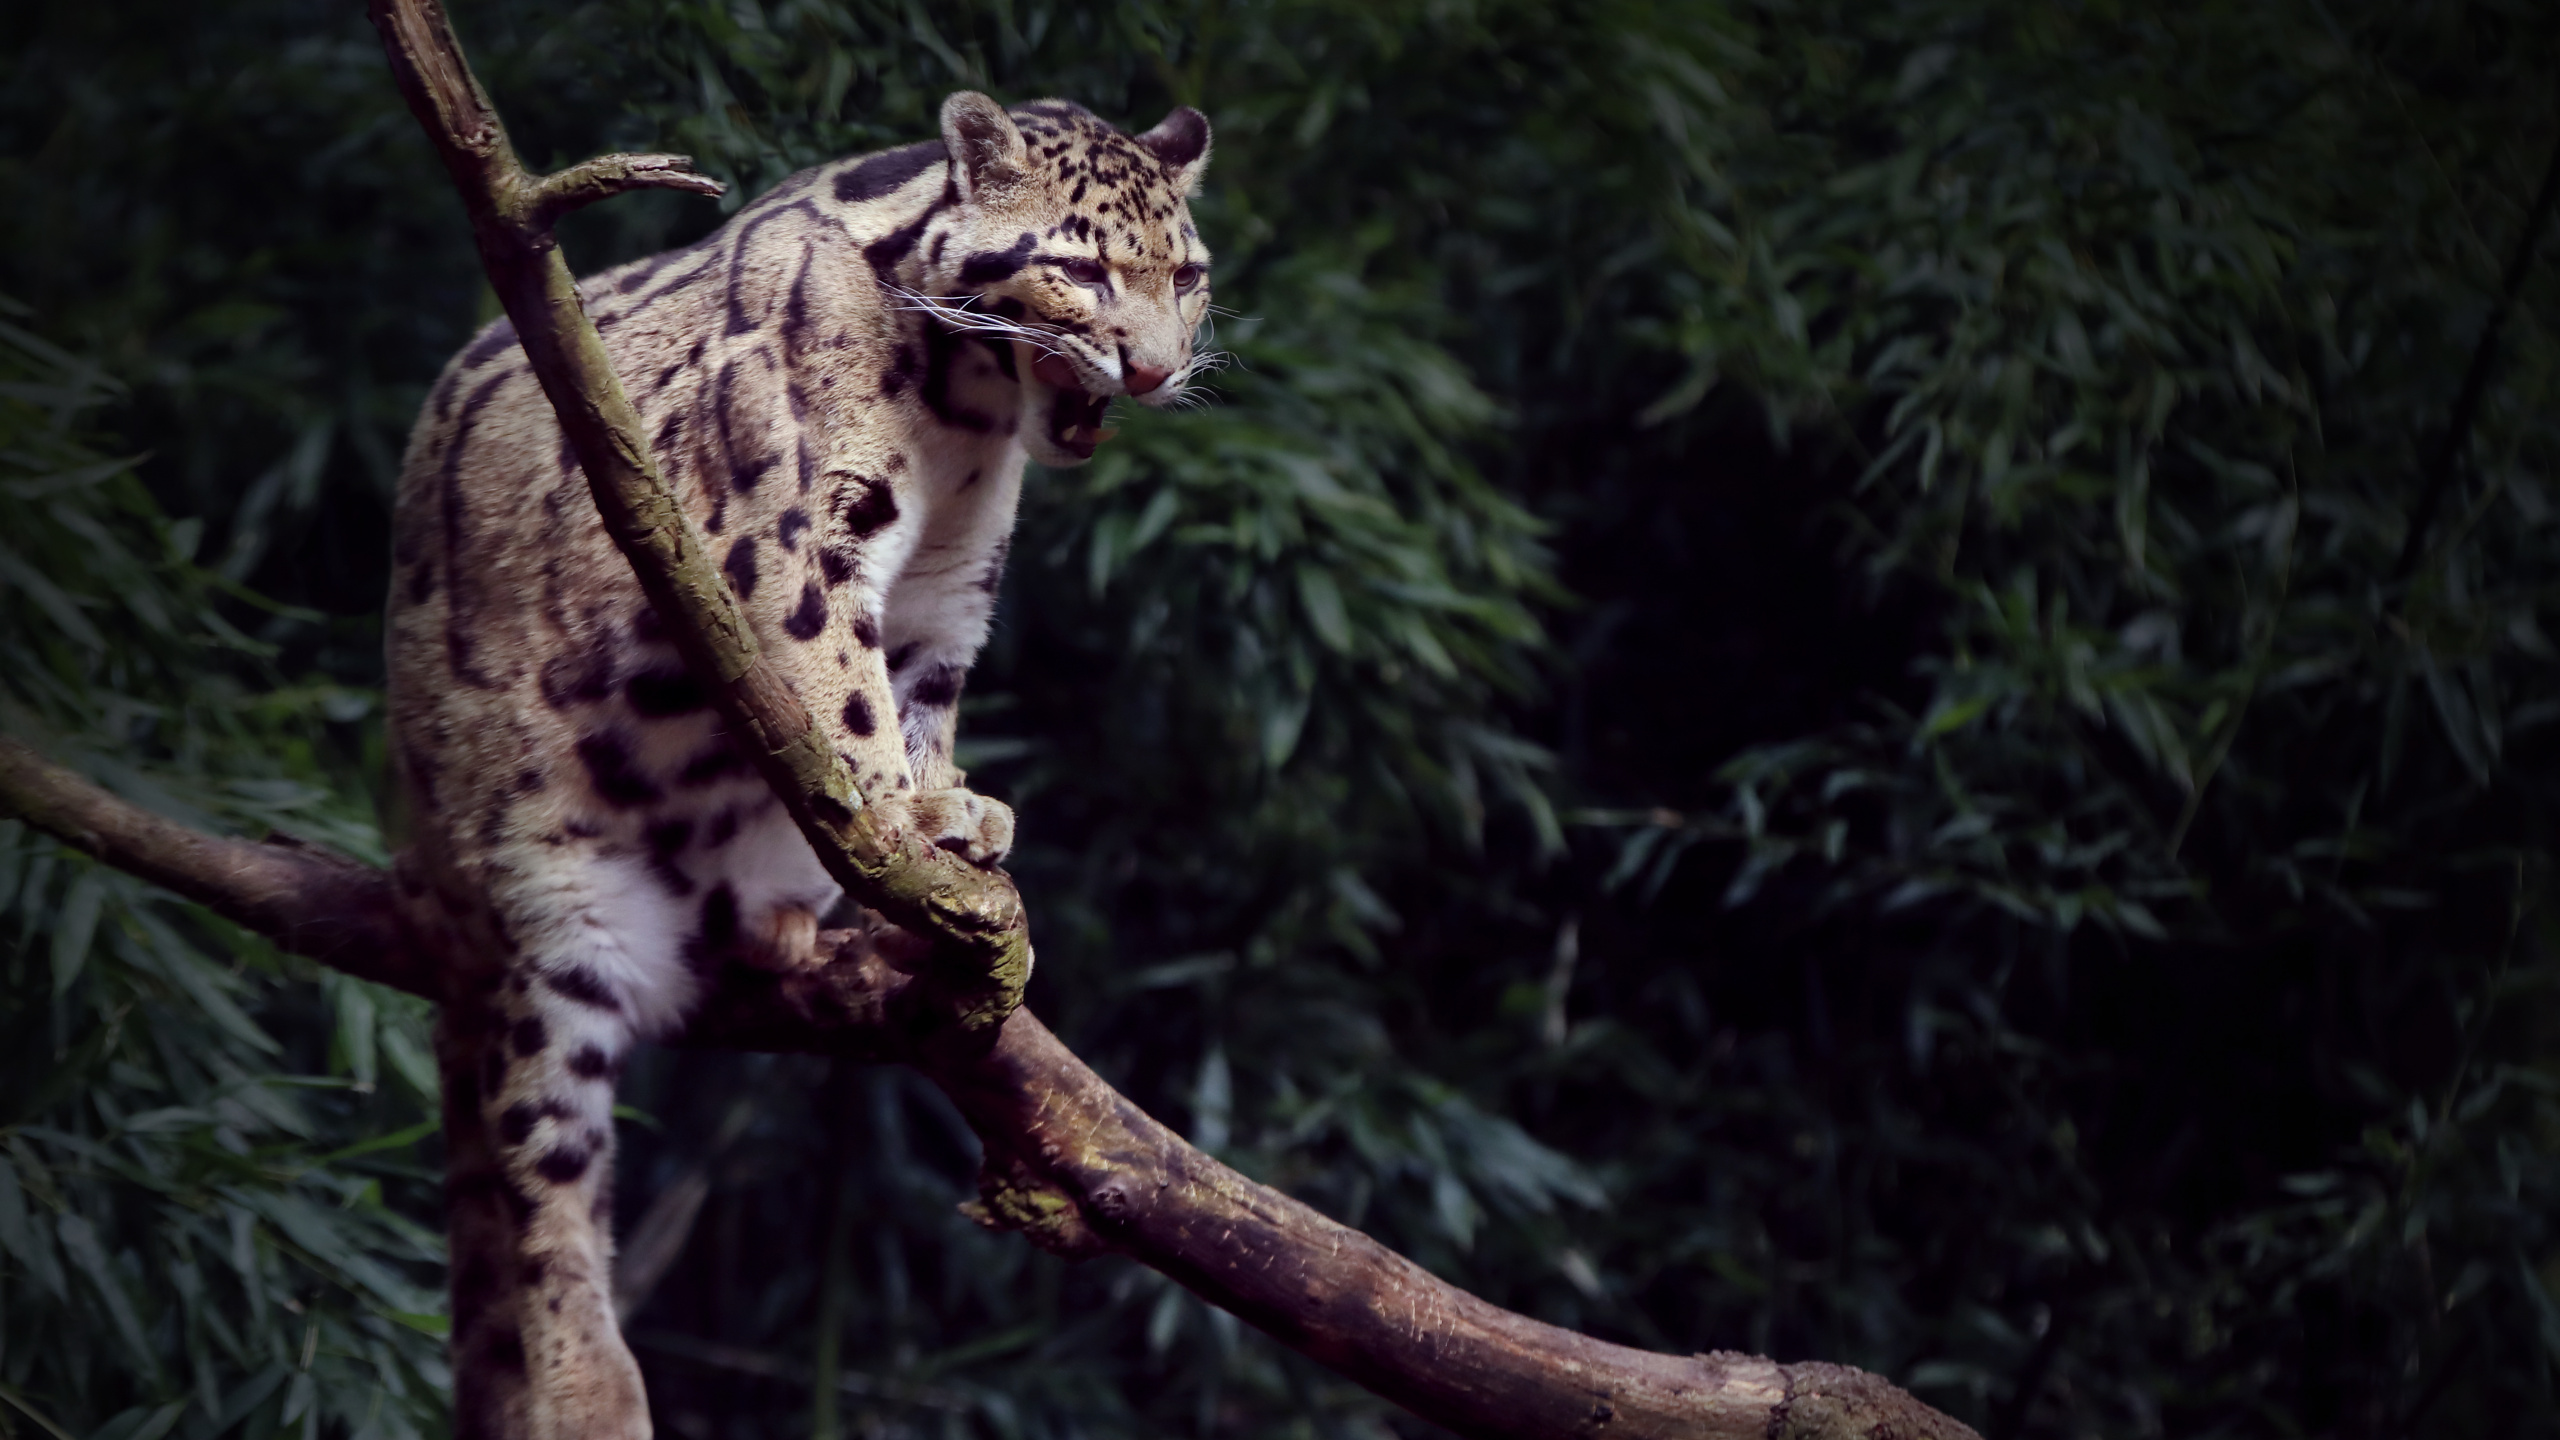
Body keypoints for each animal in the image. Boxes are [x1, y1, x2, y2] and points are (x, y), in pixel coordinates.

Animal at [383, 92, 1212, 1440]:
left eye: (1185, 276)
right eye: (1082, 269)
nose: (1151, 368)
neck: (966, 423)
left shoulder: (949, 590)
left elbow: (918, 702)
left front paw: (949, 813)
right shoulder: (792, 541)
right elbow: (844, 692)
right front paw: (910, 825)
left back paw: (777, 921)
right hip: (545, 917)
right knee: (542, 1169)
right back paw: (590, 1386)